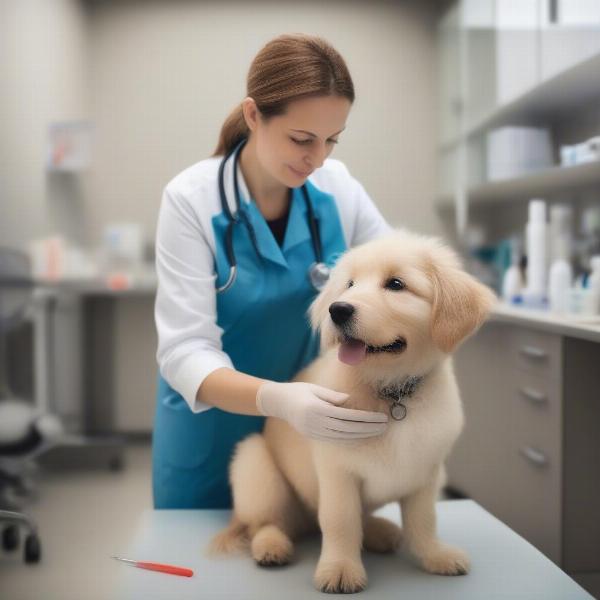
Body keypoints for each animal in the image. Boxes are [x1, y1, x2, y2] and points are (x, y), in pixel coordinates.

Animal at [211, 230, 496, 596]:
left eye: (396, 284)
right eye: (349, 285)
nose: (338, 310)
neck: (392, 392)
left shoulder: (427, 471)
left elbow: (424, 521)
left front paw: (435, 556)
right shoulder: (337, 472)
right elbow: (340, 522)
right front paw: (340, 569)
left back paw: (380, 532)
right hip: (255, 465)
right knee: (266, 523)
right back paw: (271, 547)